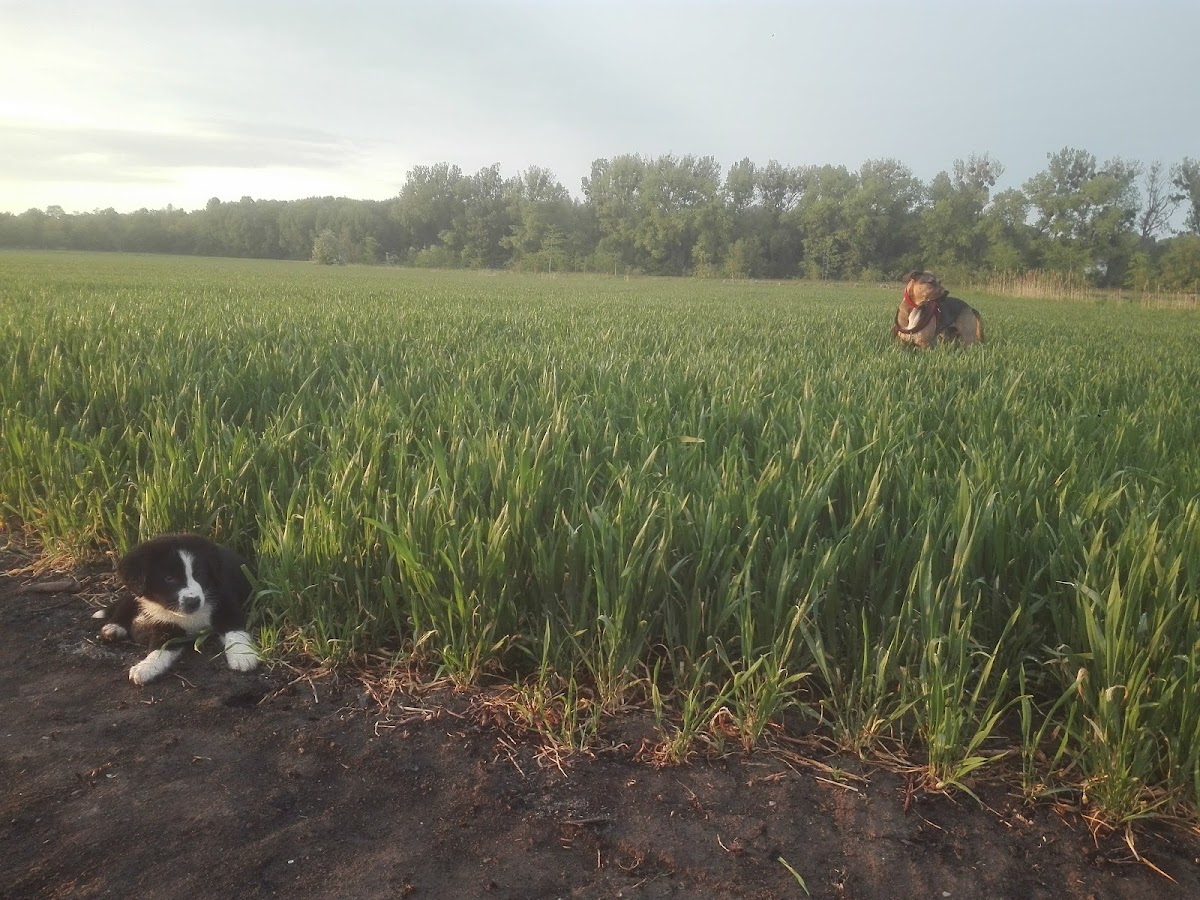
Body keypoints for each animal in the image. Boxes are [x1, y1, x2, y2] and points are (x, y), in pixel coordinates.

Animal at [93, 534, 258, 685]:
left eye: (200, 574)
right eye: (169, 578)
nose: (193, 602)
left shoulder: (226, 605)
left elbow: (235, 632)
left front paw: (243, 655)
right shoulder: (167, 625)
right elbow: (159, 648)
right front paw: (146, 667)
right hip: (137, 594)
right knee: (126, 603)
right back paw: (114, 627)